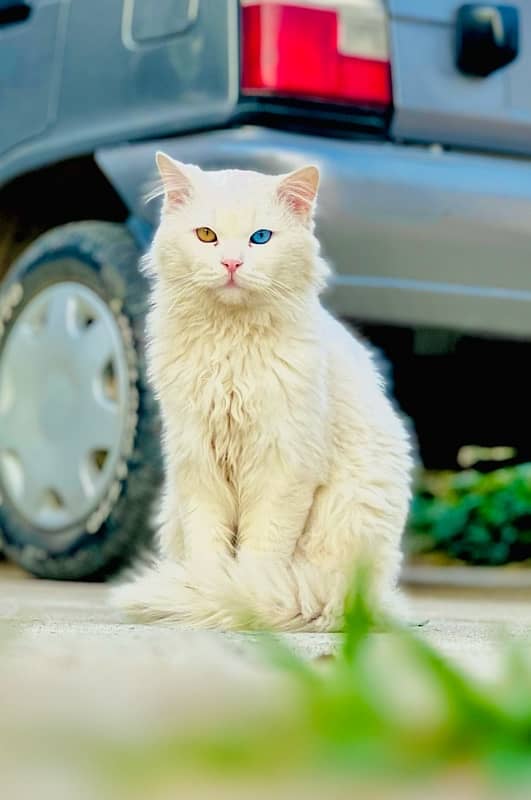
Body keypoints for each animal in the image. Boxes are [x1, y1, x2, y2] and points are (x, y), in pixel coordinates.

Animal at [111, 152, 412, 632]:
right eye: (207, 236)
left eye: (261, 238)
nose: (232, 264)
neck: (230, 346)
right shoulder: (197, 462)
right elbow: (208, 546)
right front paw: (208, 590)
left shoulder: (284, 466)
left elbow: (262, 549)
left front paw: (243, 599)